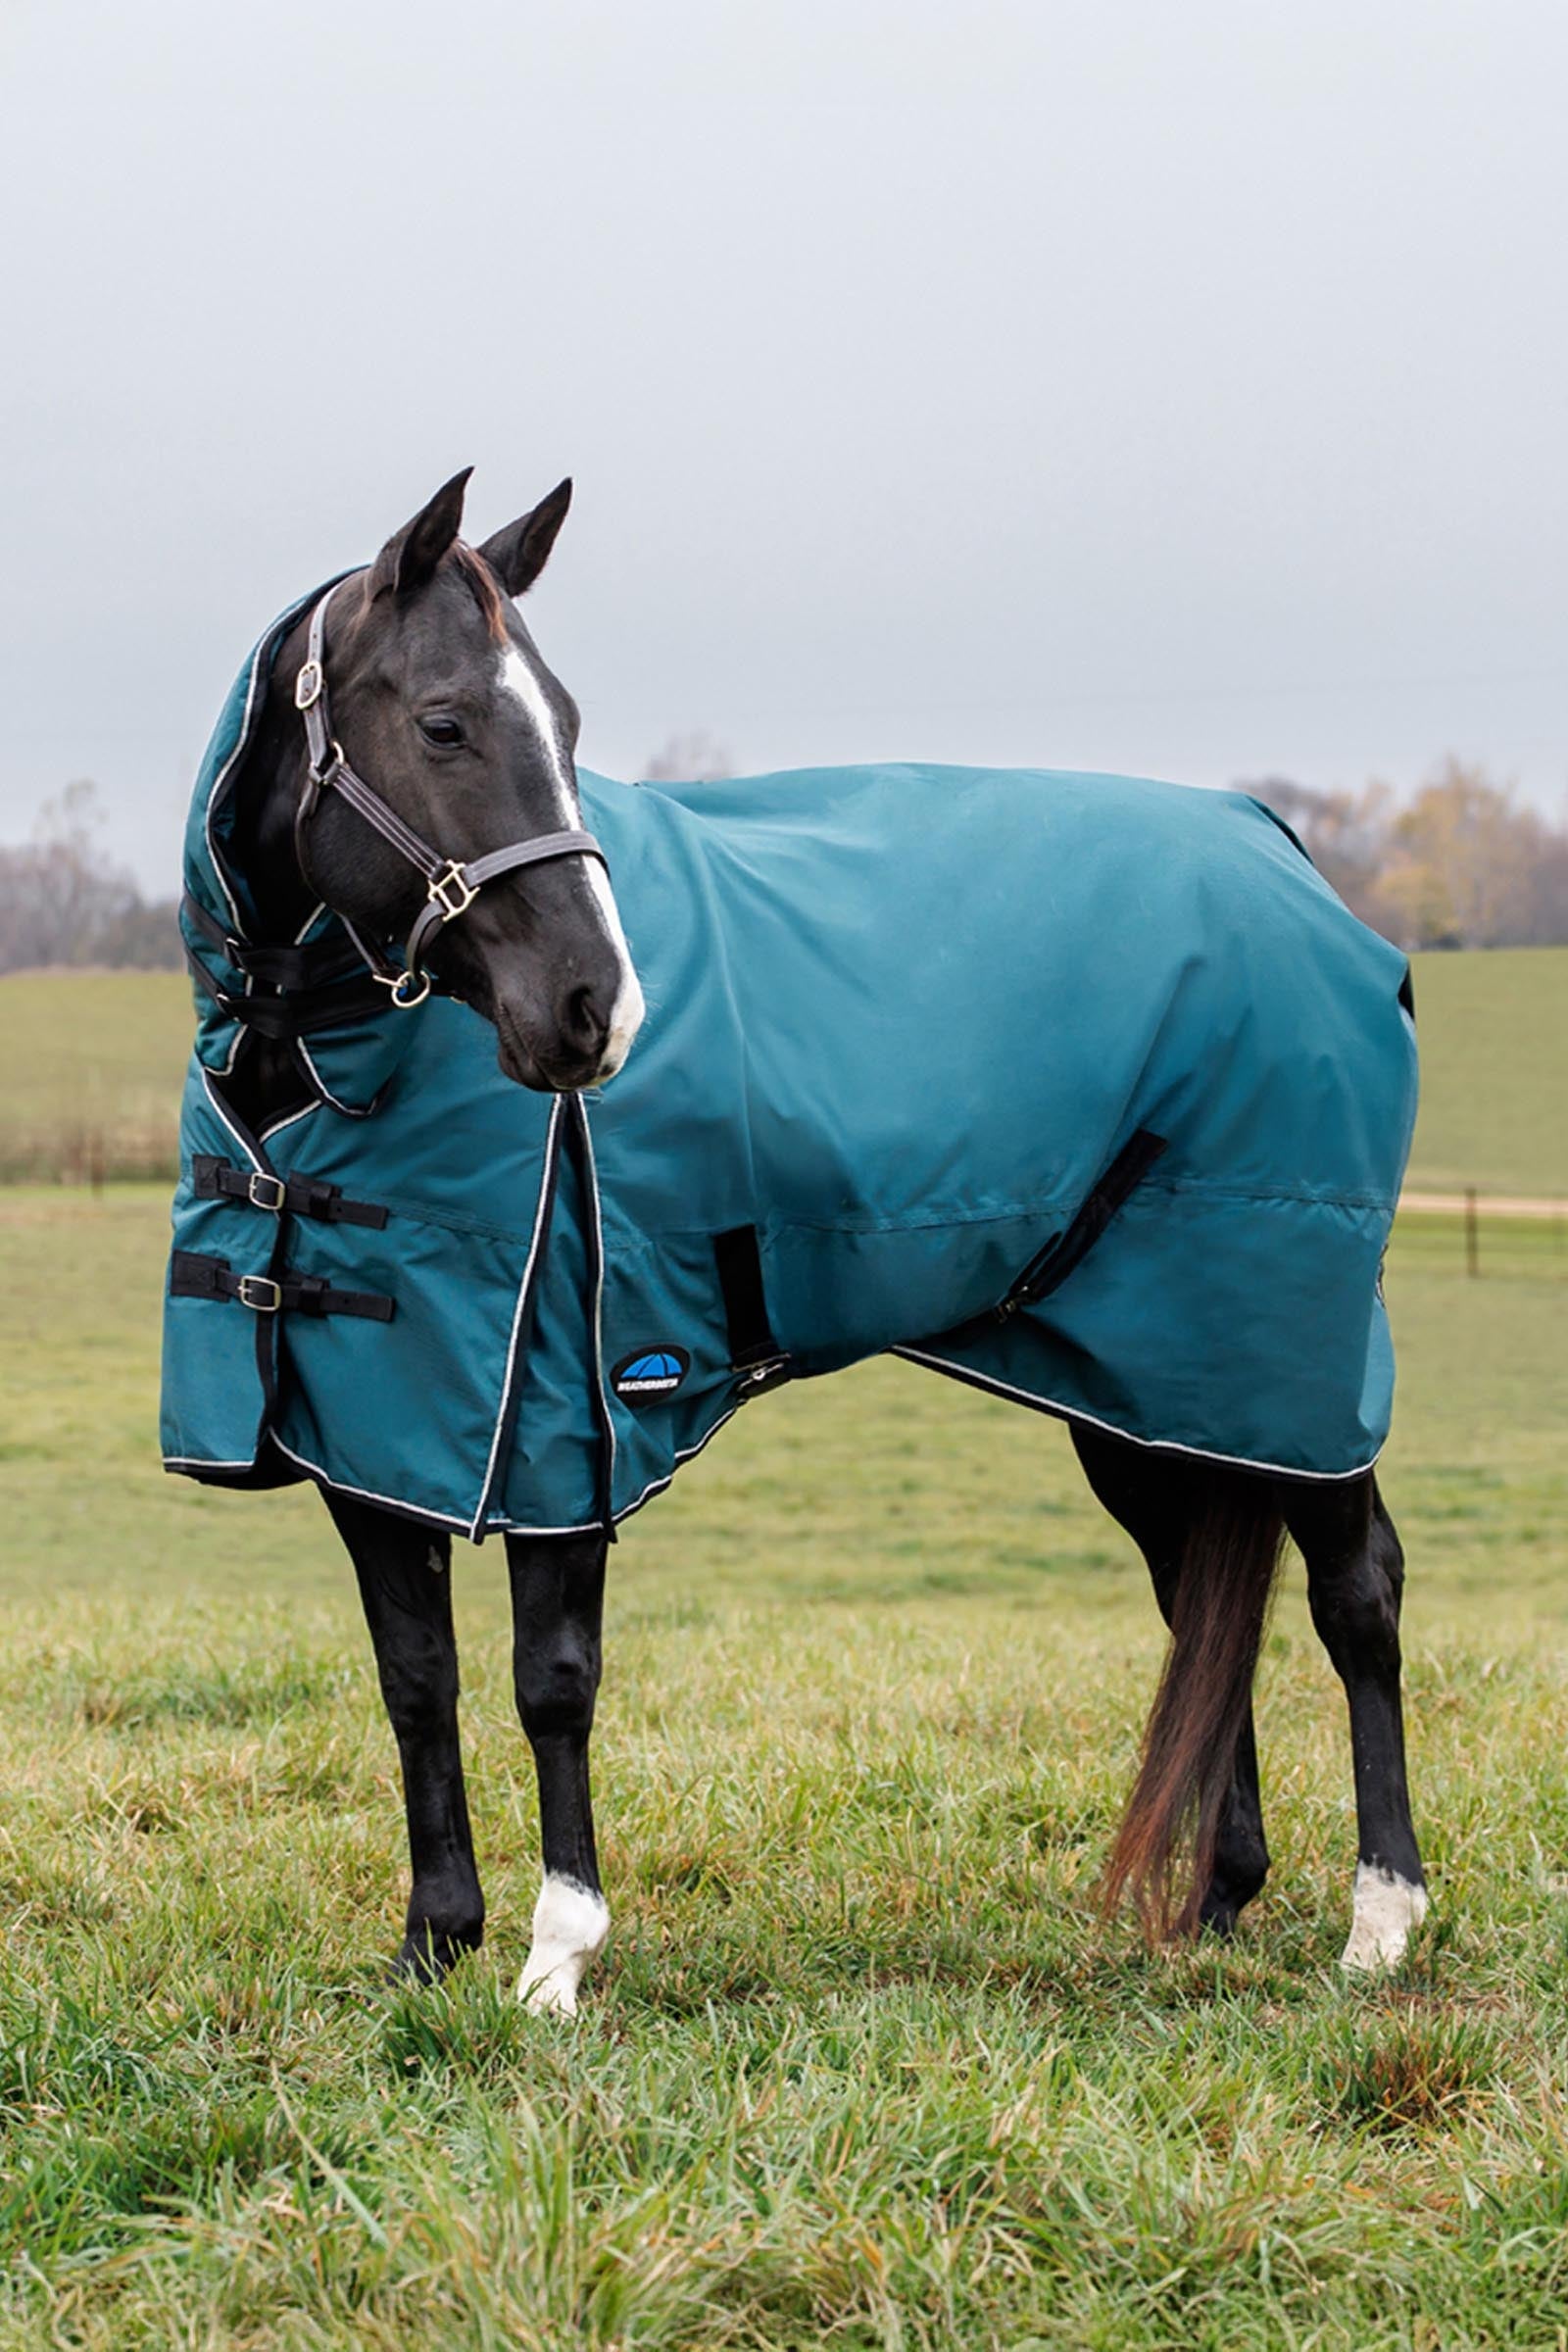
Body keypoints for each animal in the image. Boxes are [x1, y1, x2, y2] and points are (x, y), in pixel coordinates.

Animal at [162, 470, 1427, 2011]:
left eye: (567, 726)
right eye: (447, 722)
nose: (597, 1010)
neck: (326, 1063)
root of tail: (1284, 856)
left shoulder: (564, 1417)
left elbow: (550, 1679)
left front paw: (555, 1957)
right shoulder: (375, 1426)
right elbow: (416, 1678)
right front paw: (433, 1945)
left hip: (1294, 1364)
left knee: (1357, 1593)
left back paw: (1381, 1921)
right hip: (1153, 1384)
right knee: (1202, 1598)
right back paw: (1217, 1897)